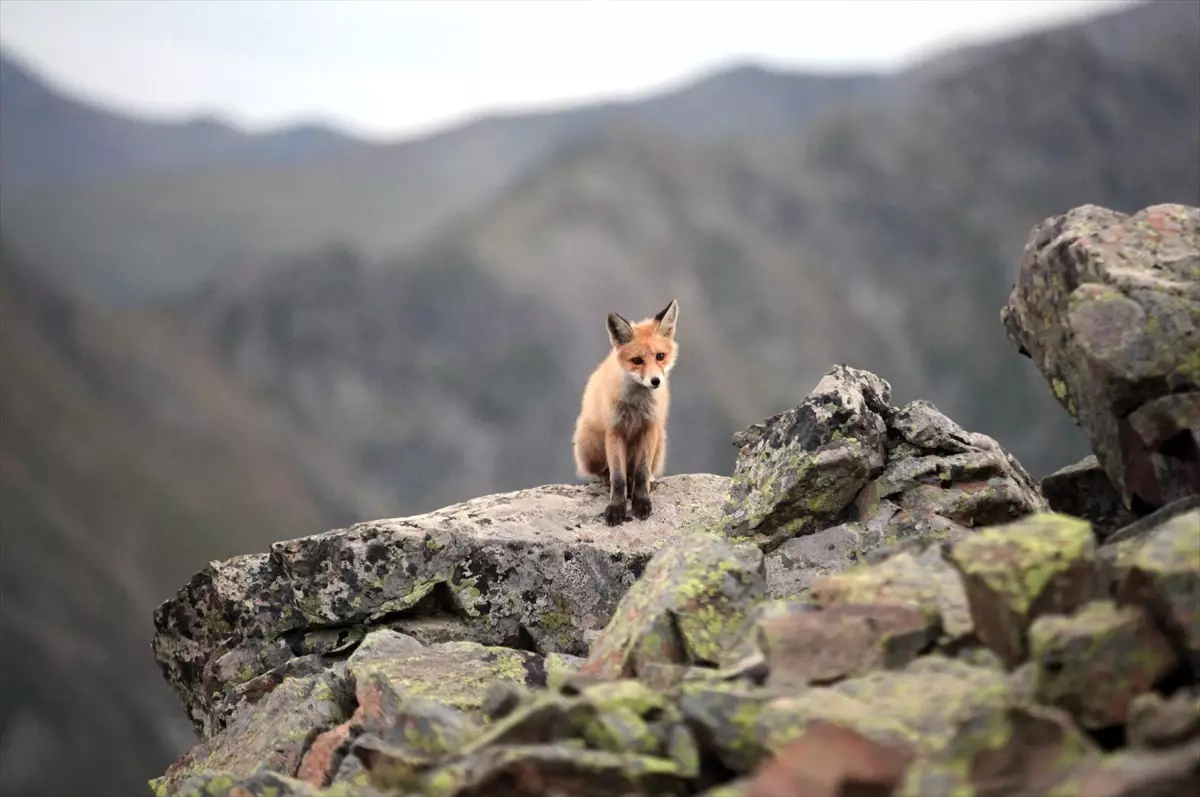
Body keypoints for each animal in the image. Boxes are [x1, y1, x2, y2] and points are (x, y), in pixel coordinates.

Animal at [568, 298, 676, 523]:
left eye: (660, 356)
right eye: (637, 361)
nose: (655, 381)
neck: (636, 406)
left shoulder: (649, 428)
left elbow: (642, 473)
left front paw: (641, 502)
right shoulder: (615, 431)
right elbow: (618, 478)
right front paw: (617, 507)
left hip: (659, 442)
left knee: (638, 472)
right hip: (590, 443)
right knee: (603, 472)